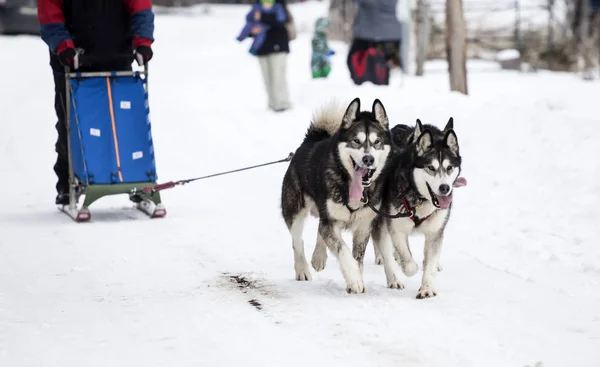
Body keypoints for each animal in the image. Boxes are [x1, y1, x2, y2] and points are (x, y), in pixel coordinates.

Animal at [282, 98, 394, 294]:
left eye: (377, 142)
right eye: (356, 141)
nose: (368, 159)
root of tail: (310, 140)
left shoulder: (363, 227)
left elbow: (357, 257)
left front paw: (355, 279)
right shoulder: (332, 222)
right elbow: (344, 251)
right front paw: (355, 279)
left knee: (320, 230)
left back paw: (318, 257)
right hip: (295, 213)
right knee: (298, 242)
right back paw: (302, 269)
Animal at [370, 118, 464, 300]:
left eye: (449, 168)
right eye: (431, 168)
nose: (444, 188)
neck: (421, 200)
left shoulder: (435, 232)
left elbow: (430, 264)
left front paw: (426, 288)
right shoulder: (397, 228)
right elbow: (408, 263)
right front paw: (407, 267)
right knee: (384, 248)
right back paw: (393, 277)